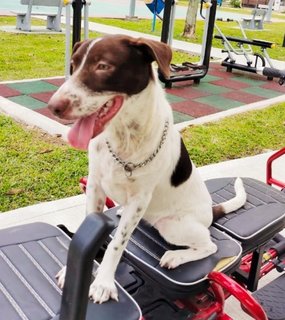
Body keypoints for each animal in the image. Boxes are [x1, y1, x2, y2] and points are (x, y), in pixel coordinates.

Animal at [47, 35, 246, 304]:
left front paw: (103, 281)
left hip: (175, 226)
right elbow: (86, 229)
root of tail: (210, 212)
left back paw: (176, 256)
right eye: (73, 64)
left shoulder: (139, 200)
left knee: (210, 246)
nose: (53, 107)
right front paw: (73, 270)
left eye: (103, 66)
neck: (124, 137)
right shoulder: (95, 186)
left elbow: (116, 244)